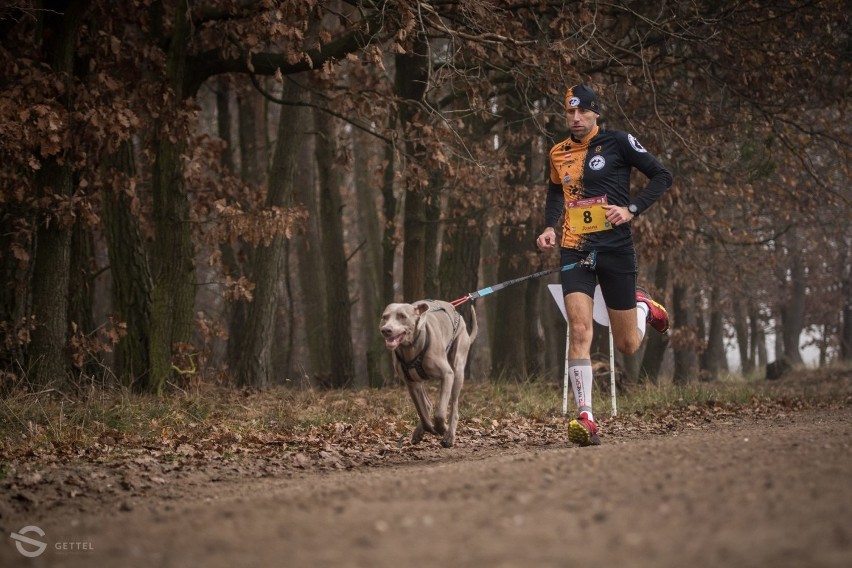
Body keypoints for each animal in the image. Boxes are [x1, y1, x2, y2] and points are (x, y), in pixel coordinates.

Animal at [382, 300, 480, 446]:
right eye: (384, 317)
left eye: (402, 316)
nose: (386, 330)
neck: (411, 347)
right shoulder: (411, 383)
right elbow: (422, 414)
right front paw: (429, 428)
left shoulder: (447, 375)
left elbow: (439, 414)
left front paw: (442, 428)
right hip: (418, 379)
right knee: (427, 405)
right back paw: (419, 431)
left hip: (458, 368)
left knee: (454, 406)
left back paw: (449, 435)